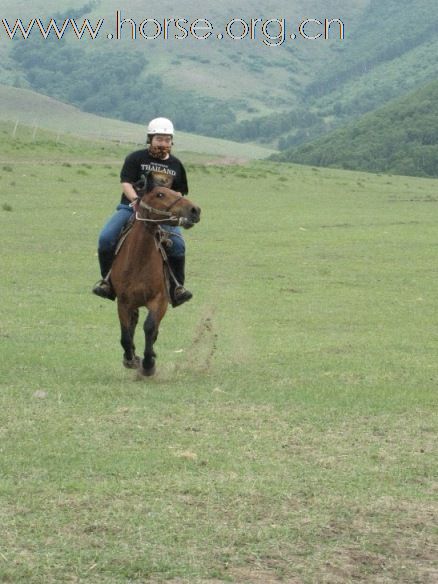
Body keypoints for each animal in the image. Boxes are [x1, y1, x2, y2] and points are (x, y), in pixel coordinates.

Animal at [110, 185, 201, 376]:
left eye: (177, 192)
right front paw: (130, 359)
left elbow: (150, 327)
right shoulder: (123, 301)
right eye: (160, 194)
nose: (195, 210)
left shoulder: (160, 300)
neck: (139, 260)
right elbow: (125, 332)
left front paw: (148, 364)